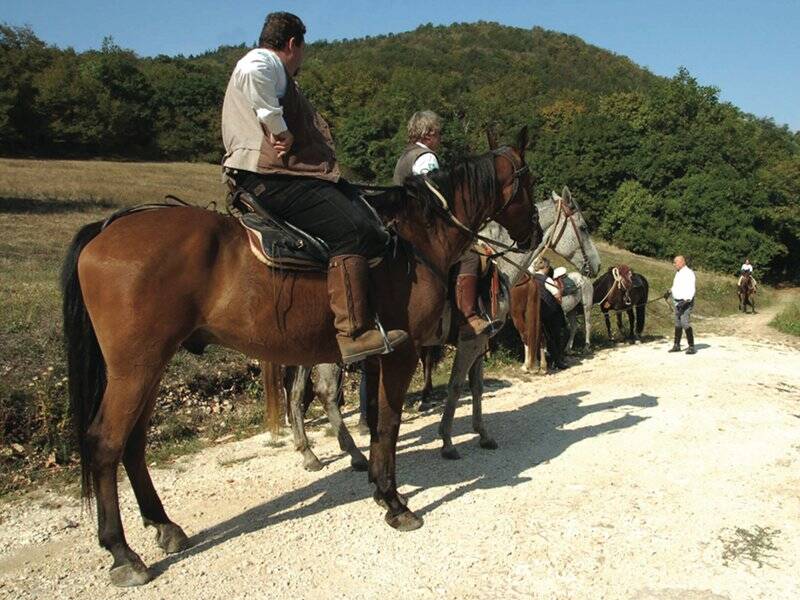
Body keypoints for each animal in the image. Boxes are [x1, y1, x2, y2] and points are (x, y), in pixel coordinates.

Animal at [60, 126, 540, 587]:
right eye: (528, 180)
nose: (534, 233)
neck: (416, 239)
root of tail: (106, 229)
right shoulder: (403, 354)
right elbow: (391, 422)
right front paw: (394, 500)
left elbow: (381, 420)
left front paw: (380, 481)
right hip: (135, 369)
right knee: (106, 442)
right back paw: (123, 553)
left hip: (150, 368)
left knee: (134, 443)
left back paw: (164, 526)